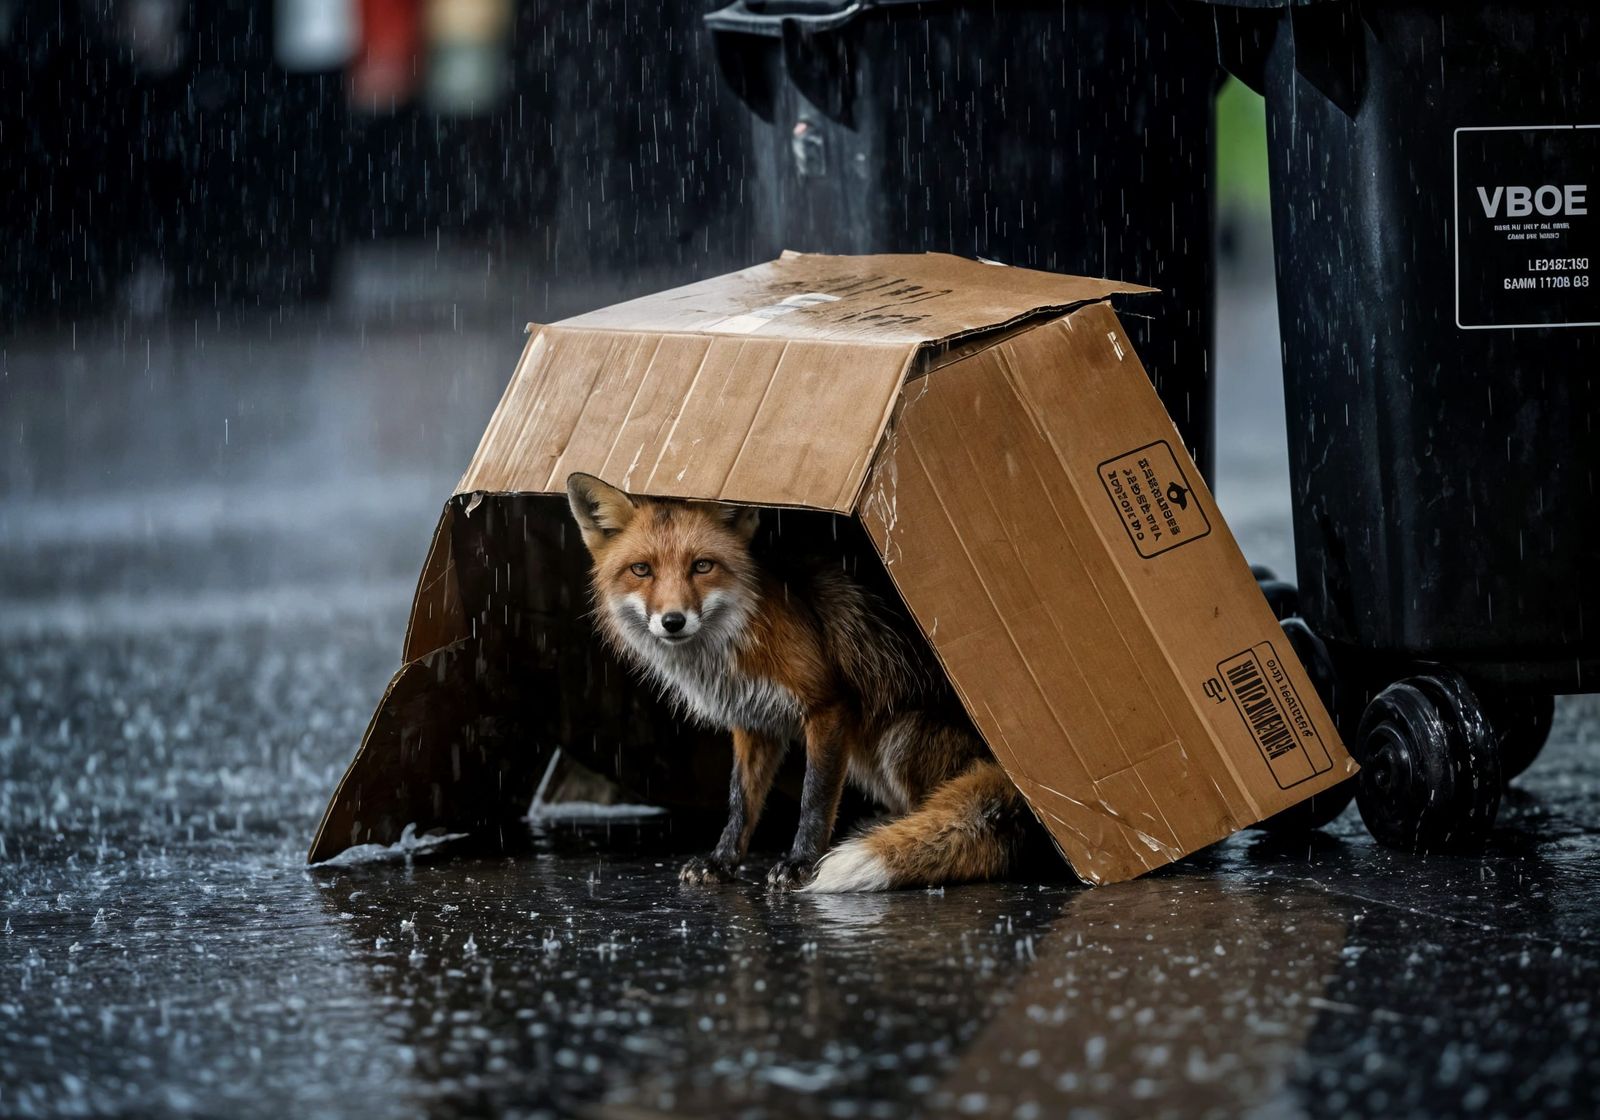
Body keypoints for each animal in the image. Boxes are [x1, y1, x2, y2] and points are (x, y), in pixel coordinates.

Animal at [565, 471, 1041, 892]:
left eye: (702, 566)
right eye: (641, 570)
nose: (673, 621)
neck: (732, 647)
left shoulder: (827, 706)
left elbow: (815, 796)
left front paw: (800, 863)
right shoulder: (753, 720)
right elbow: (741, 802)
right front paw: (721, 862)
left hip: (897, 740)